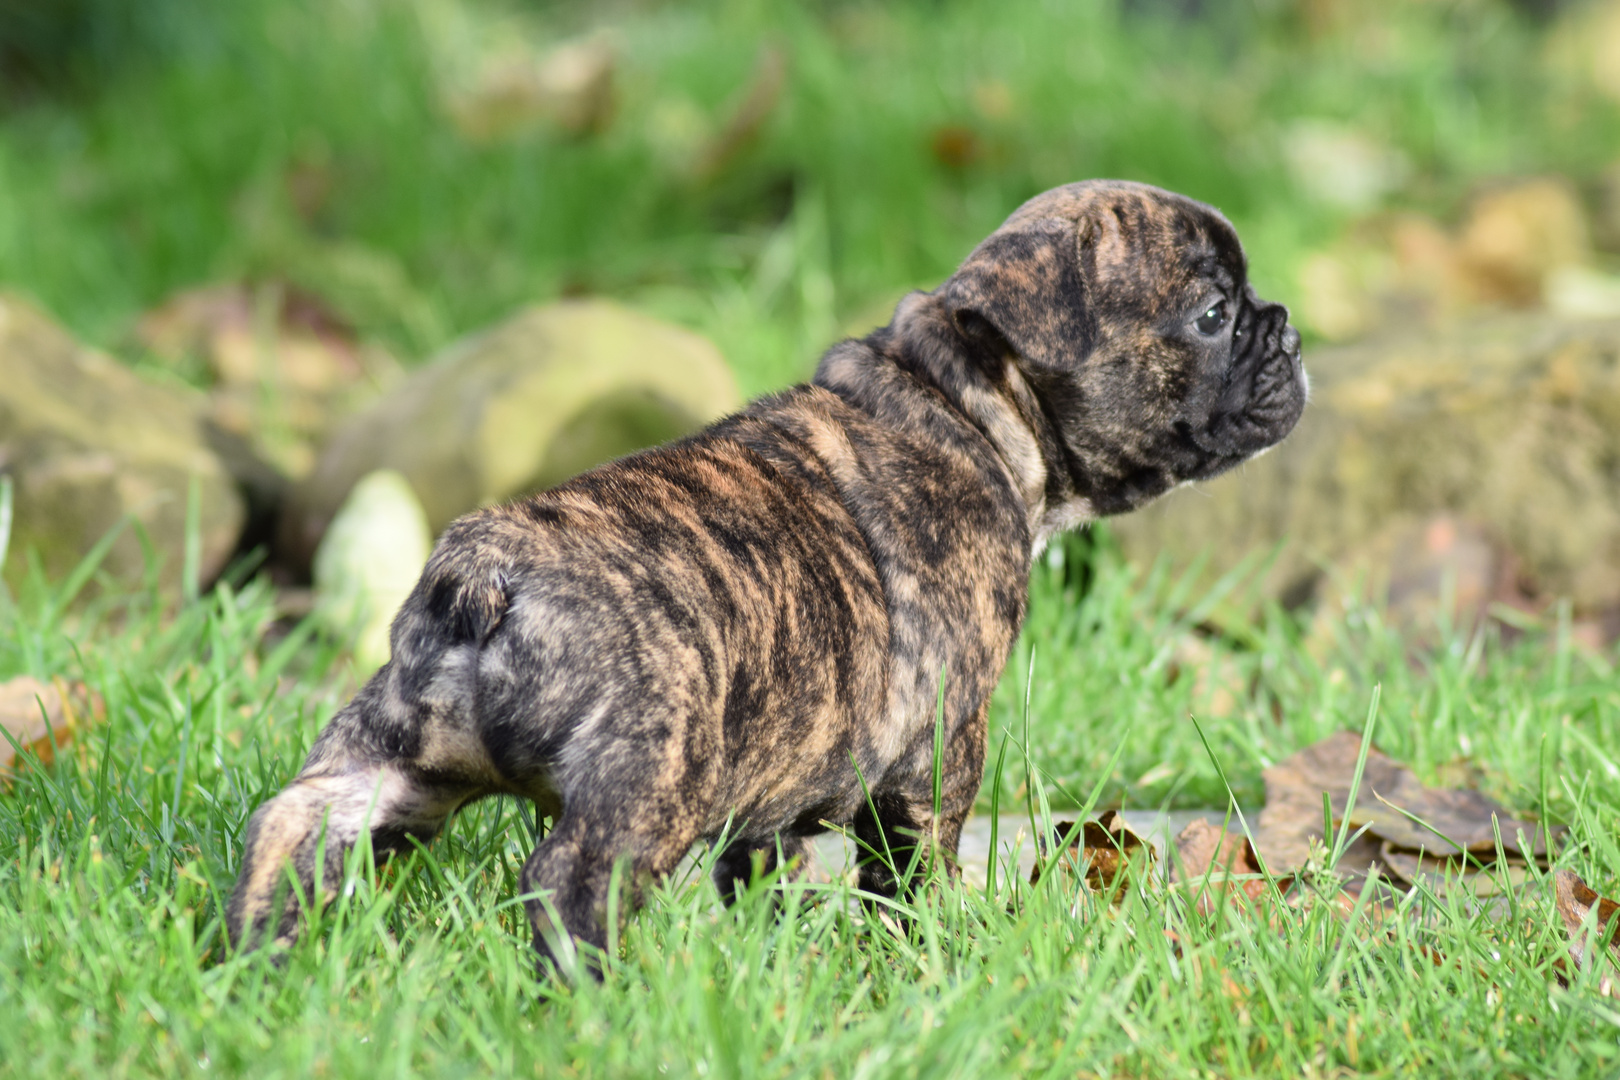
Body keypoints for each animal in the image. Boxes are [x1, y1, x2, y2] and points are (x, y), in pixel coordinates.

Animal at [228, 177, 1308, 971]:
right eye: (1214, 313)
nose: (1290, 331)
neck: (963, 398)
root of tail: (482, 585)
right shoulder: (942, 745)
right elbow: (909, 872)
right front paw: (921, 957)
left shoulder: (778, 789)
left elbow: (766, 869)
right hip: (645, 780)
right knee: (569, 883)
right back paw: (590, 996)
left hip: (394, 760)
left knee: (293, 820)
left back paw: (254, 958)